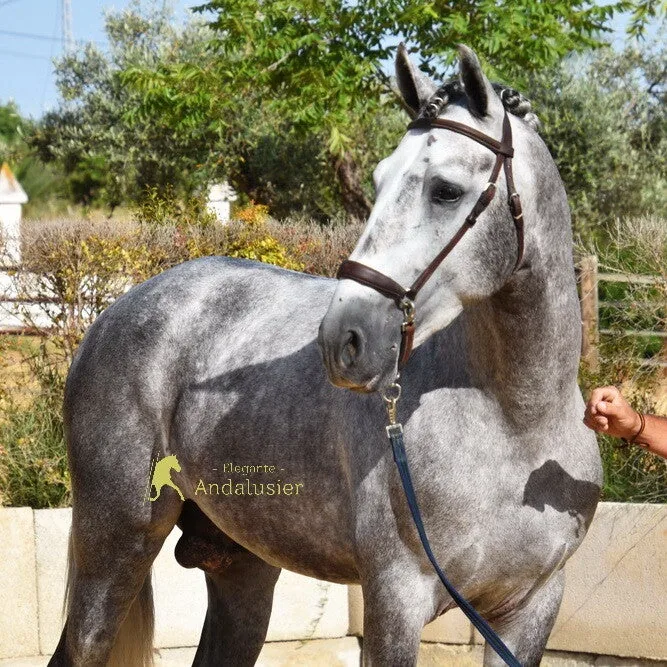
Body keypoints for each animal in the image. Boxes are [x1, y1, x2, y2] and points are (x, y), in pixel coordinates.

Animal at [49, 45, 601, 667]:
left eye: (447, 190)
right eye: (380, 179)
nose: (343, 339)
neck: (516, 423)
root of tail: (116, 311)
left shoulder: (531, 608)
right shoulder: (397, 598)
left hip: (240, 567)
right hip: (115, 545)